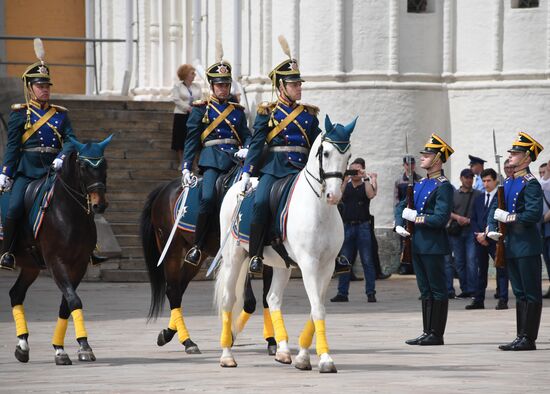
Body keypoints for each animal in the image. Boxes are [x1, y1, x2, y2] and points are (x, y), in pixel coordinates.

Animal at [4, 136, 112, 366]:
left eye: (105, 165)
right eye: (83, 166)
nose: (100, 205)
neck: (69, 213)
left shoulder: (78, 265)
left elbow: (67, 303)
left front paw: (65, 348)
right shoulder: (55, 262)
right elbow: (73, 299)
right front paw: (78, 347)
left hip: (31, 266)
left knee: (16, 294)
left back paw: (22, 345)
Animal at [216, 115, 358, 374]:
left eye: (349, 155)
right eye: (326, 153)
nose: (334, 196)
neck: (318, 208)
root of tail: (236, 188)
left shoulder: (328, 266)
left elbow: (316, 306)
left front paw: (302, 356)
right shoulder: (309, 264)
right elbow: (317, 308)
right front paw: (325, 359)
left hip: (282, 264)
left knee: (272, 298)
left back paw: (282, 350)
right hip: (234, 257)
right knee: (228, 299)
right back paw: (227, 355)